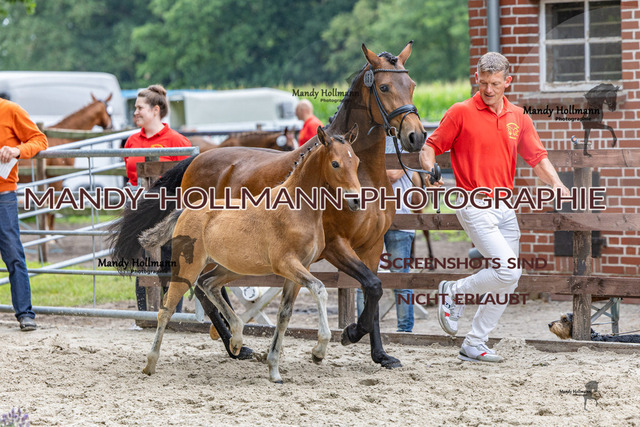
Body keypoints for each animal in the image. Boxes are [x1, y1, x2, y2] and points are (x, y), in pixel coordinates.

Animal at [138, 125, 361, 382]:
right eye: (335, 163)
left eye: (356, 161)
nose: (356, 200)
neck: (297, 209)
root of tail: (185, 210)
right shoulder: (287, 264)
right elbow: (320, 289)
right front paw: (319, 351)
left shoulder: (299, 269)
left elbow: (284, 315)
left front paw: (274, 369)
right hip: (188, 268)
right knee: (167, 309)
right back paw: (150, 363)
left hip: (230, 267)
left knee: (208, 284)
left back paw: (236, 339)